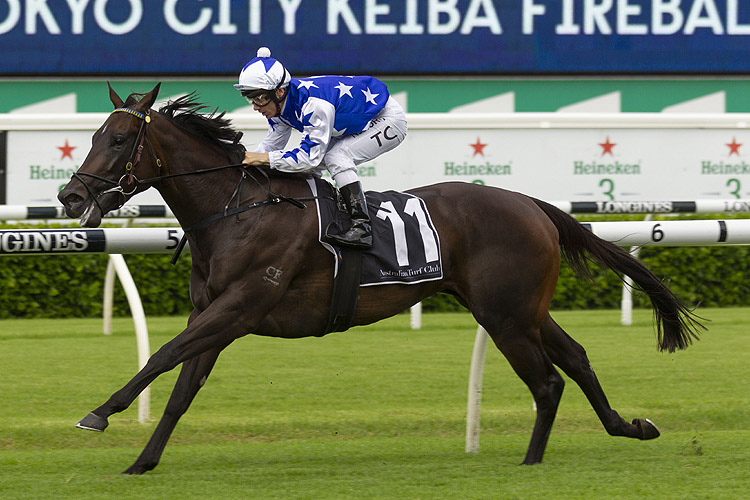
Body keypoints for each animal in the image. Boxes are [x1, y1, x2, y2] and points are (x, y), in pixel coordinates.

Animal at [58, 84, 704, 474]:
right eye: (93, 135)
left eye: (121, 138)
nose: (71, 197)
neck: (238, 208)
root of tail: (531, 204)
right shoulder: (213, 313)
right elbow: (182, 389)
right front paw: (142, 461)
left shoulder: (239, 308)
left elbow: (162, 355)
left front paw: (99, 413)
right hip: (521, 309)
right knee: (576, 359)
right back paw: (629, 427)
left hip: (504, 314)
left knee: (547, 382)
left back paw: (529, 463)